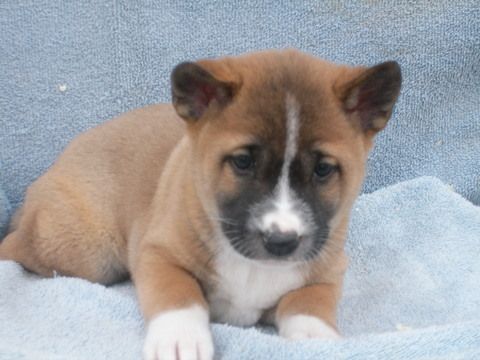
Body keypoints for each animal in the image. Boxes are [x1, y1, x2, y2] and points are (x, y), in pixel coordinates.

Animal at [0, 50, 402, 360]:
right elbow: (181, 297)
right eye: (243, 162)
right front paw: (180, 338)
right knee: (18, 245)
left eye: (323, 169)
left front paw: (316, 340)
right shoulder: (159, 254)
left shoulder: (327, 272)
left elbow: (309, 306)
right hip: (87, 254)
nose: (281, 242)